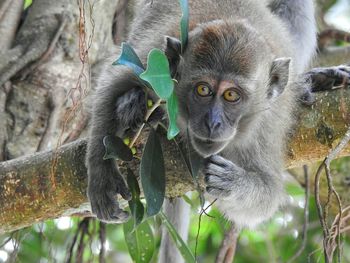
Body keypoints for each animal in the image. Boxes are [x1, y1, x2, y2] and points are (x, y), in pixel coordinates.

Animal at [86, 0, 316, 233]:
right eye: (203, 90)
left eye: (231, 95)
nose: (213, 123)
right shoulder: (151, 60)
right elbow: (112, 83)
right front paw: (102, 177)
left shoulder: (268, 125)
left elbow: (266, 195)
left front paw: (235, 183)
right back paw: (133, 105)